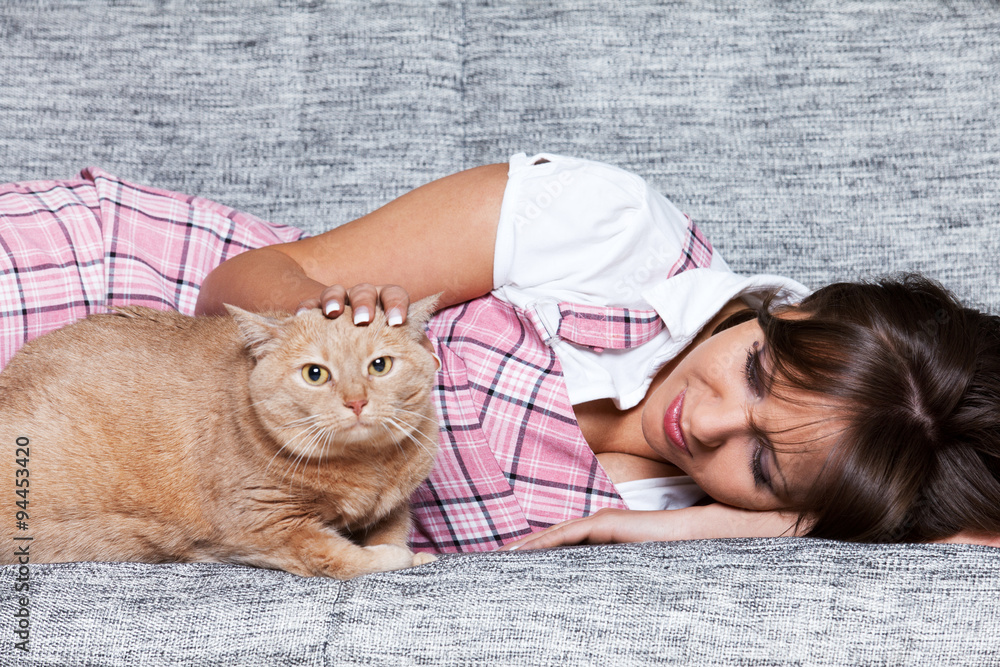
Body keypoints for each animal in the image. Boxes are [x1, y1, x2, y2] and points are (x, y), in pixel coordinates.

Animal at [0, 302, 442, 580]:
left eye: (379, 366)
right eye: (315, 374)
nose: (356, 401)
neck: (365, 468)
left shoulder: (394, 507)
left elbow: (392, 528)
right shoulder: (266, 529)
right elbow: (346, 558)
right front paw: (411, 557)